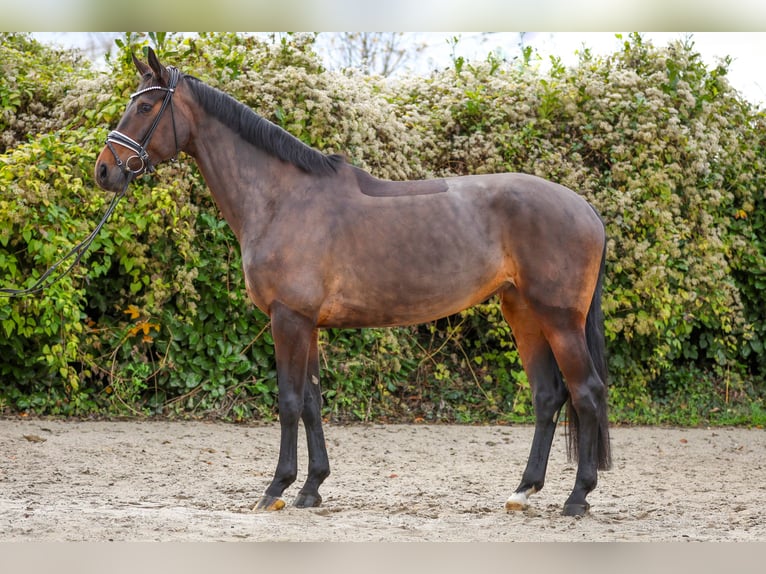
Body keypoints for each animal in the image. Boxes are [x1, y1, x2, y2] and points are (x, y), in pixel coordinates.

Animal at [94, 48, 612, 516]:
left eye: (145, 106)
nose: (104, 170)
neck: (282, 198)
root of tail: (585, 208)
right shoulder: (308, 324)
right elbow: (311, 401)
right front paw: (311, 488)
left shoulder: (289, 319)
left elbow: (288, 401)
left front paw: (276, 488)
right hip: (522, 312)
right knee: (548, 395)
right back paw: (523, 491)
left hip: (559, 320)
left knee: (587, 392)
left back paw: (578, 497)